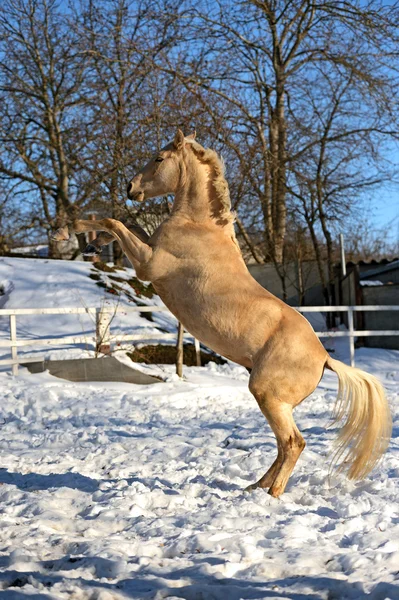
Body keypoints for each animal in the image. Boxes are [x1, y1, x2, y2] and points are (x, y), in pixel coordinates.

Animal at [52, 130, 390, 496]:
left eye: (158, 158)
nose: (131, 187)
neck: (199, 225)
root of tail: (324, 357)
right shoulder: (147, 251)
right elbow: (125, 223)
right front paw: (89, 243)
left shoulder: (147, 265)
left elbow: (115, 221)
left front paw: (66, 229)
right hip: (274, 401)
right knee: (283, 445)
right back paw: (254, 487)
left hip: (267, 395)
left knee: (293, 443)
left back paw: (270, 495)